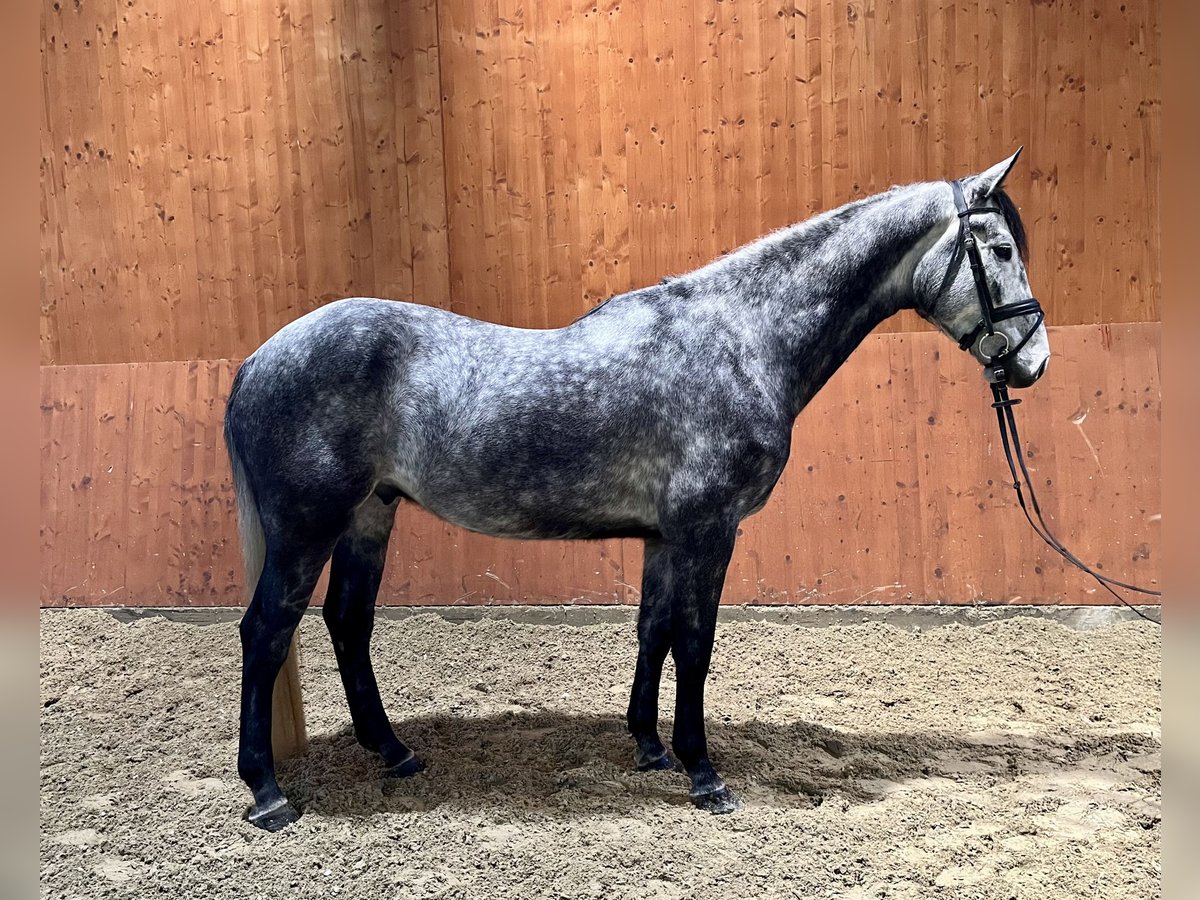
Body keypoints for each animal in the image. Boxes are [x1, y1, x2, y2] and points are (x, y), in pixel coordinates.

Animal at [226, 150, 1051, 830]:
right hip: (308, 525)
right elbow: (696, 643)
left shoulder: (662, 535)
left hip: (369, 515)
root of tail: (259, 358)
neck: (740, 339)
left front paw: (650, 748)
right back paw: (267, 794)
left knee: (347, 621)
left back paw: (394, 753)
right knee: (266, 630)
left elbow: (652, 632)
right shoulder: (709, 528)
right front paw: (704, 774)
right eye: (1002, 250)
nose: (1034, 361)